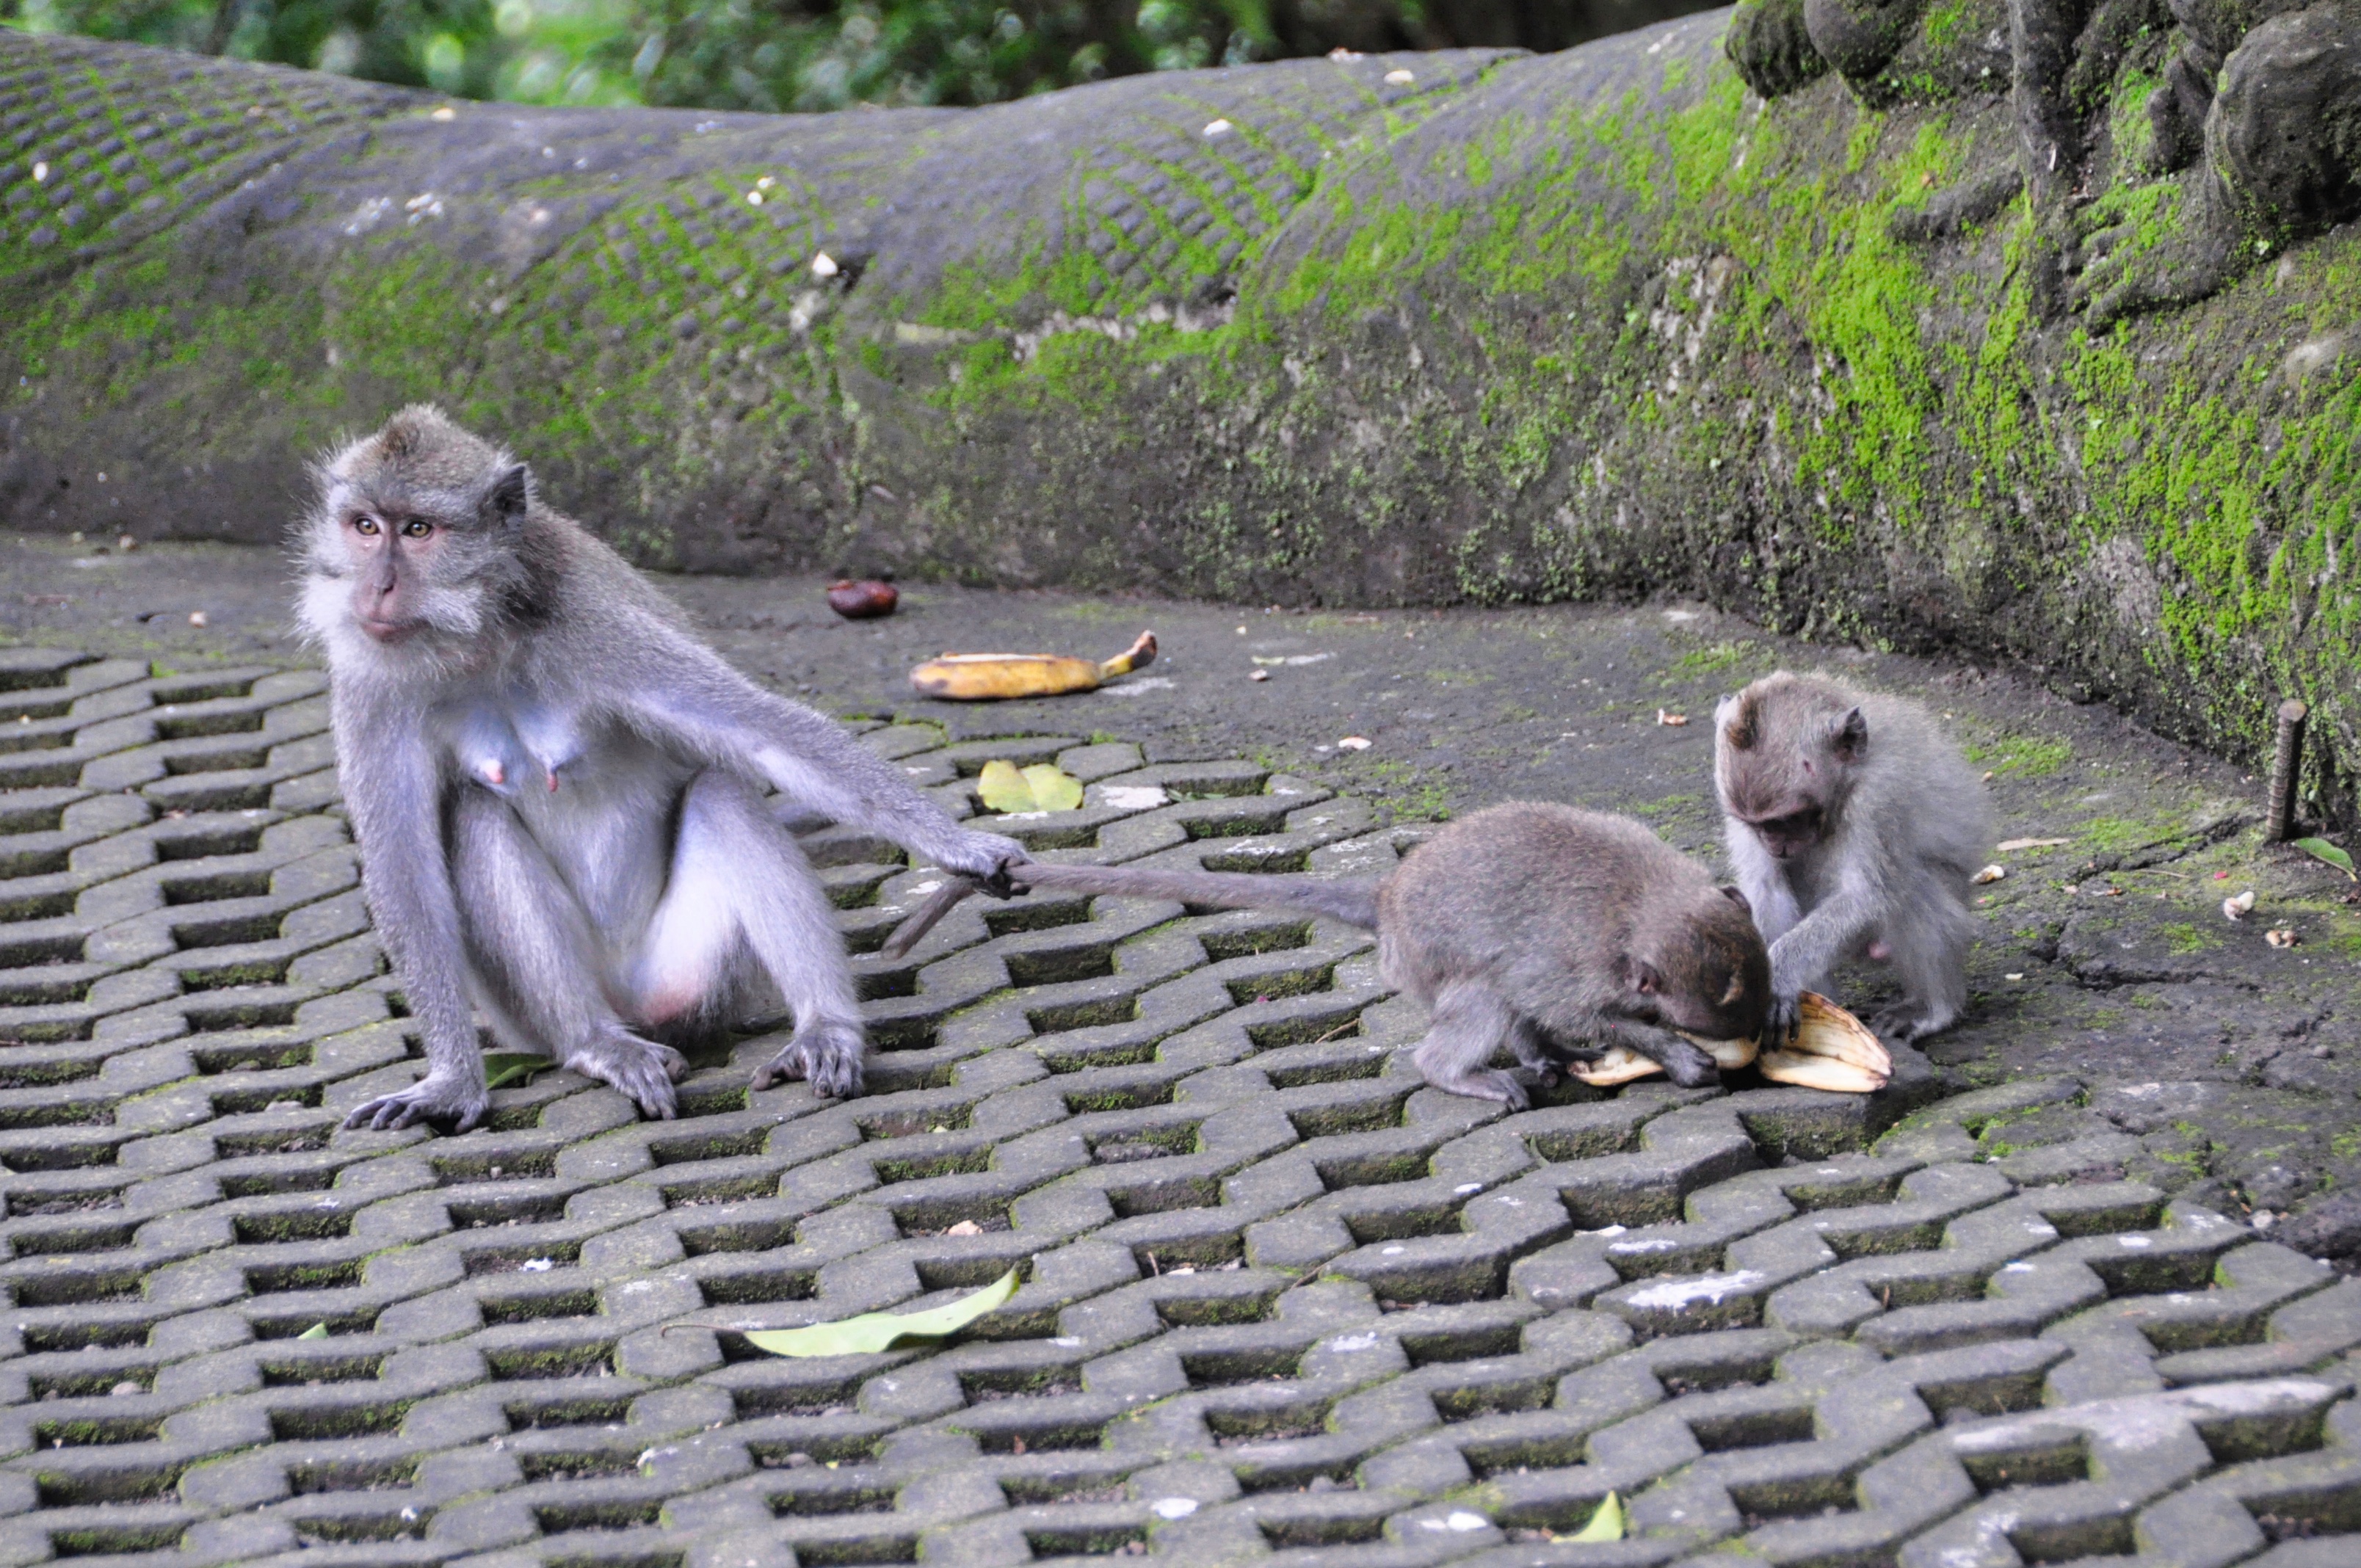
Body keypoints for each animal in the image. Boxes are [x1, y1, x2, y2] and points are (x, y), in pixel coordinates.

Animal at [302, 404, 1024, 1133]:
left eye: (418, 530)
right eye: (365, 526)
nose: (376, 587)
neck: (478, 638)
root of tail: (636, 1006)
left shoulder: (596, 630)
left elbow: (764, 735)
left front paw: (957, 845)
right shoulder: (371, 683)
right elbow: (404, 871)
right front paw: (451, 1081)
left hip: (701, 977)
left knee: (722, 795)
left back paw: (826, 1028)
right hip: (524, 1019)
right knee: (476, 815)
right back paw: (598, 1042)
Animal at [888, 802, 1775, 1109]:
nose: (1754, 1035)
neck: (1648, 903)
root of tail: (1386, 898)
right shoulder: (1580, 969)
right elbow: (1590, 1010)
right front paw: (1675, 1054)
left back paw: (1538, 1058)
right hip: (1426, 960)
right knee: (1484, 998)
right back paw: (1463, 1072)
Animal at [1719, 670, 1992, 1039]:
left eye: (1788, 819)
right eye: (1759, 825)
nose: (1775, 845)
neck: (1846, 783)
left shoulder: (1878, 797)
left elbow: (1867, 898)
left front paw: (1780, 974)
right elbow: (1768, 890)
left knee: (1911, 890)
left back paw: (1932, 1008)